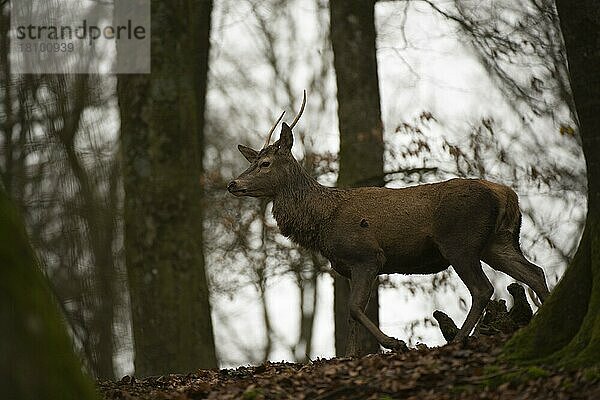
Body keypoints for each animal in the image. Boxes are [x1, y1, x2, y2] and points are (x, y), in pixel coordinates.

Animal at [227, 92, 552, 358]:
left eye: (265, 163)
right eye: (252, 161)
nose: (233, 184)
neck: (322, 221)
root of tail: (507, 194)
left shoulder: (368, 256)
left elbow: (354, 308)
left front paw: (395, 343)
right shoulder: (347, 267)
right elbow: (351, 314)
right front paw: (350, 356)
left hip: (460, 241)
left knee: (483, 289)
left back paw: (459, 339)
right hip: (498, 241)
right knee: (534, 272)